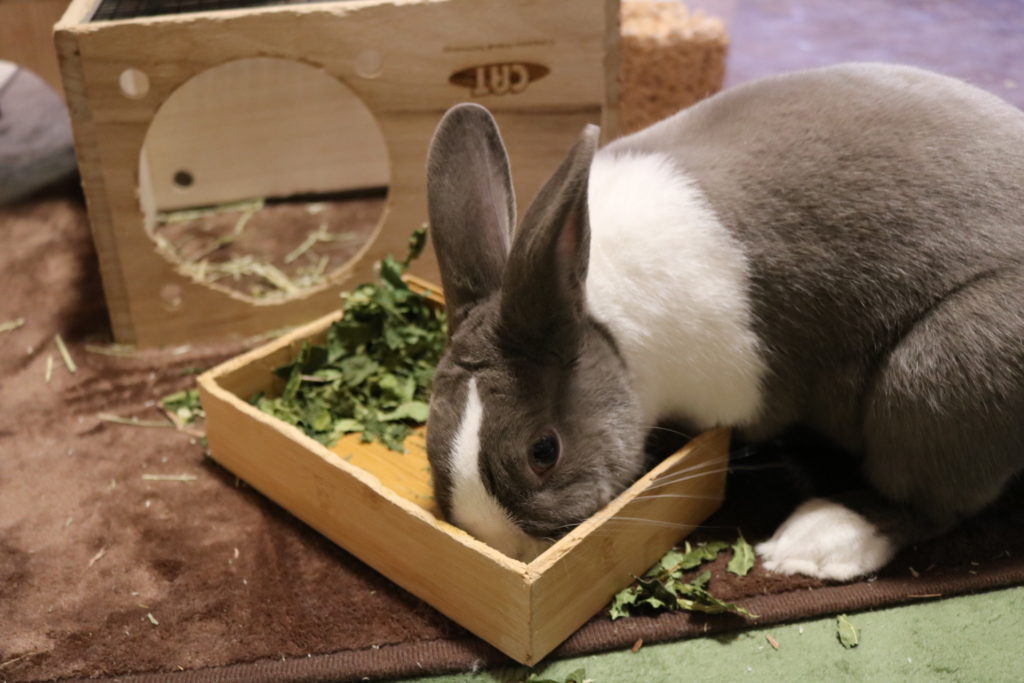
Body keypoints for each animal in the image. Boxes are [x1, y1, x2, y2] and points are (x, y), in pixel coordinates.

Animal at [423, 62, 1024, 579]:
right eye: (432, 435)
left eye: (544, 452)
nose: (509, 548)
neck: (602, 319)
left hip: (939, 377)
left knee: (930, 500)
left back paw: (813, 541)